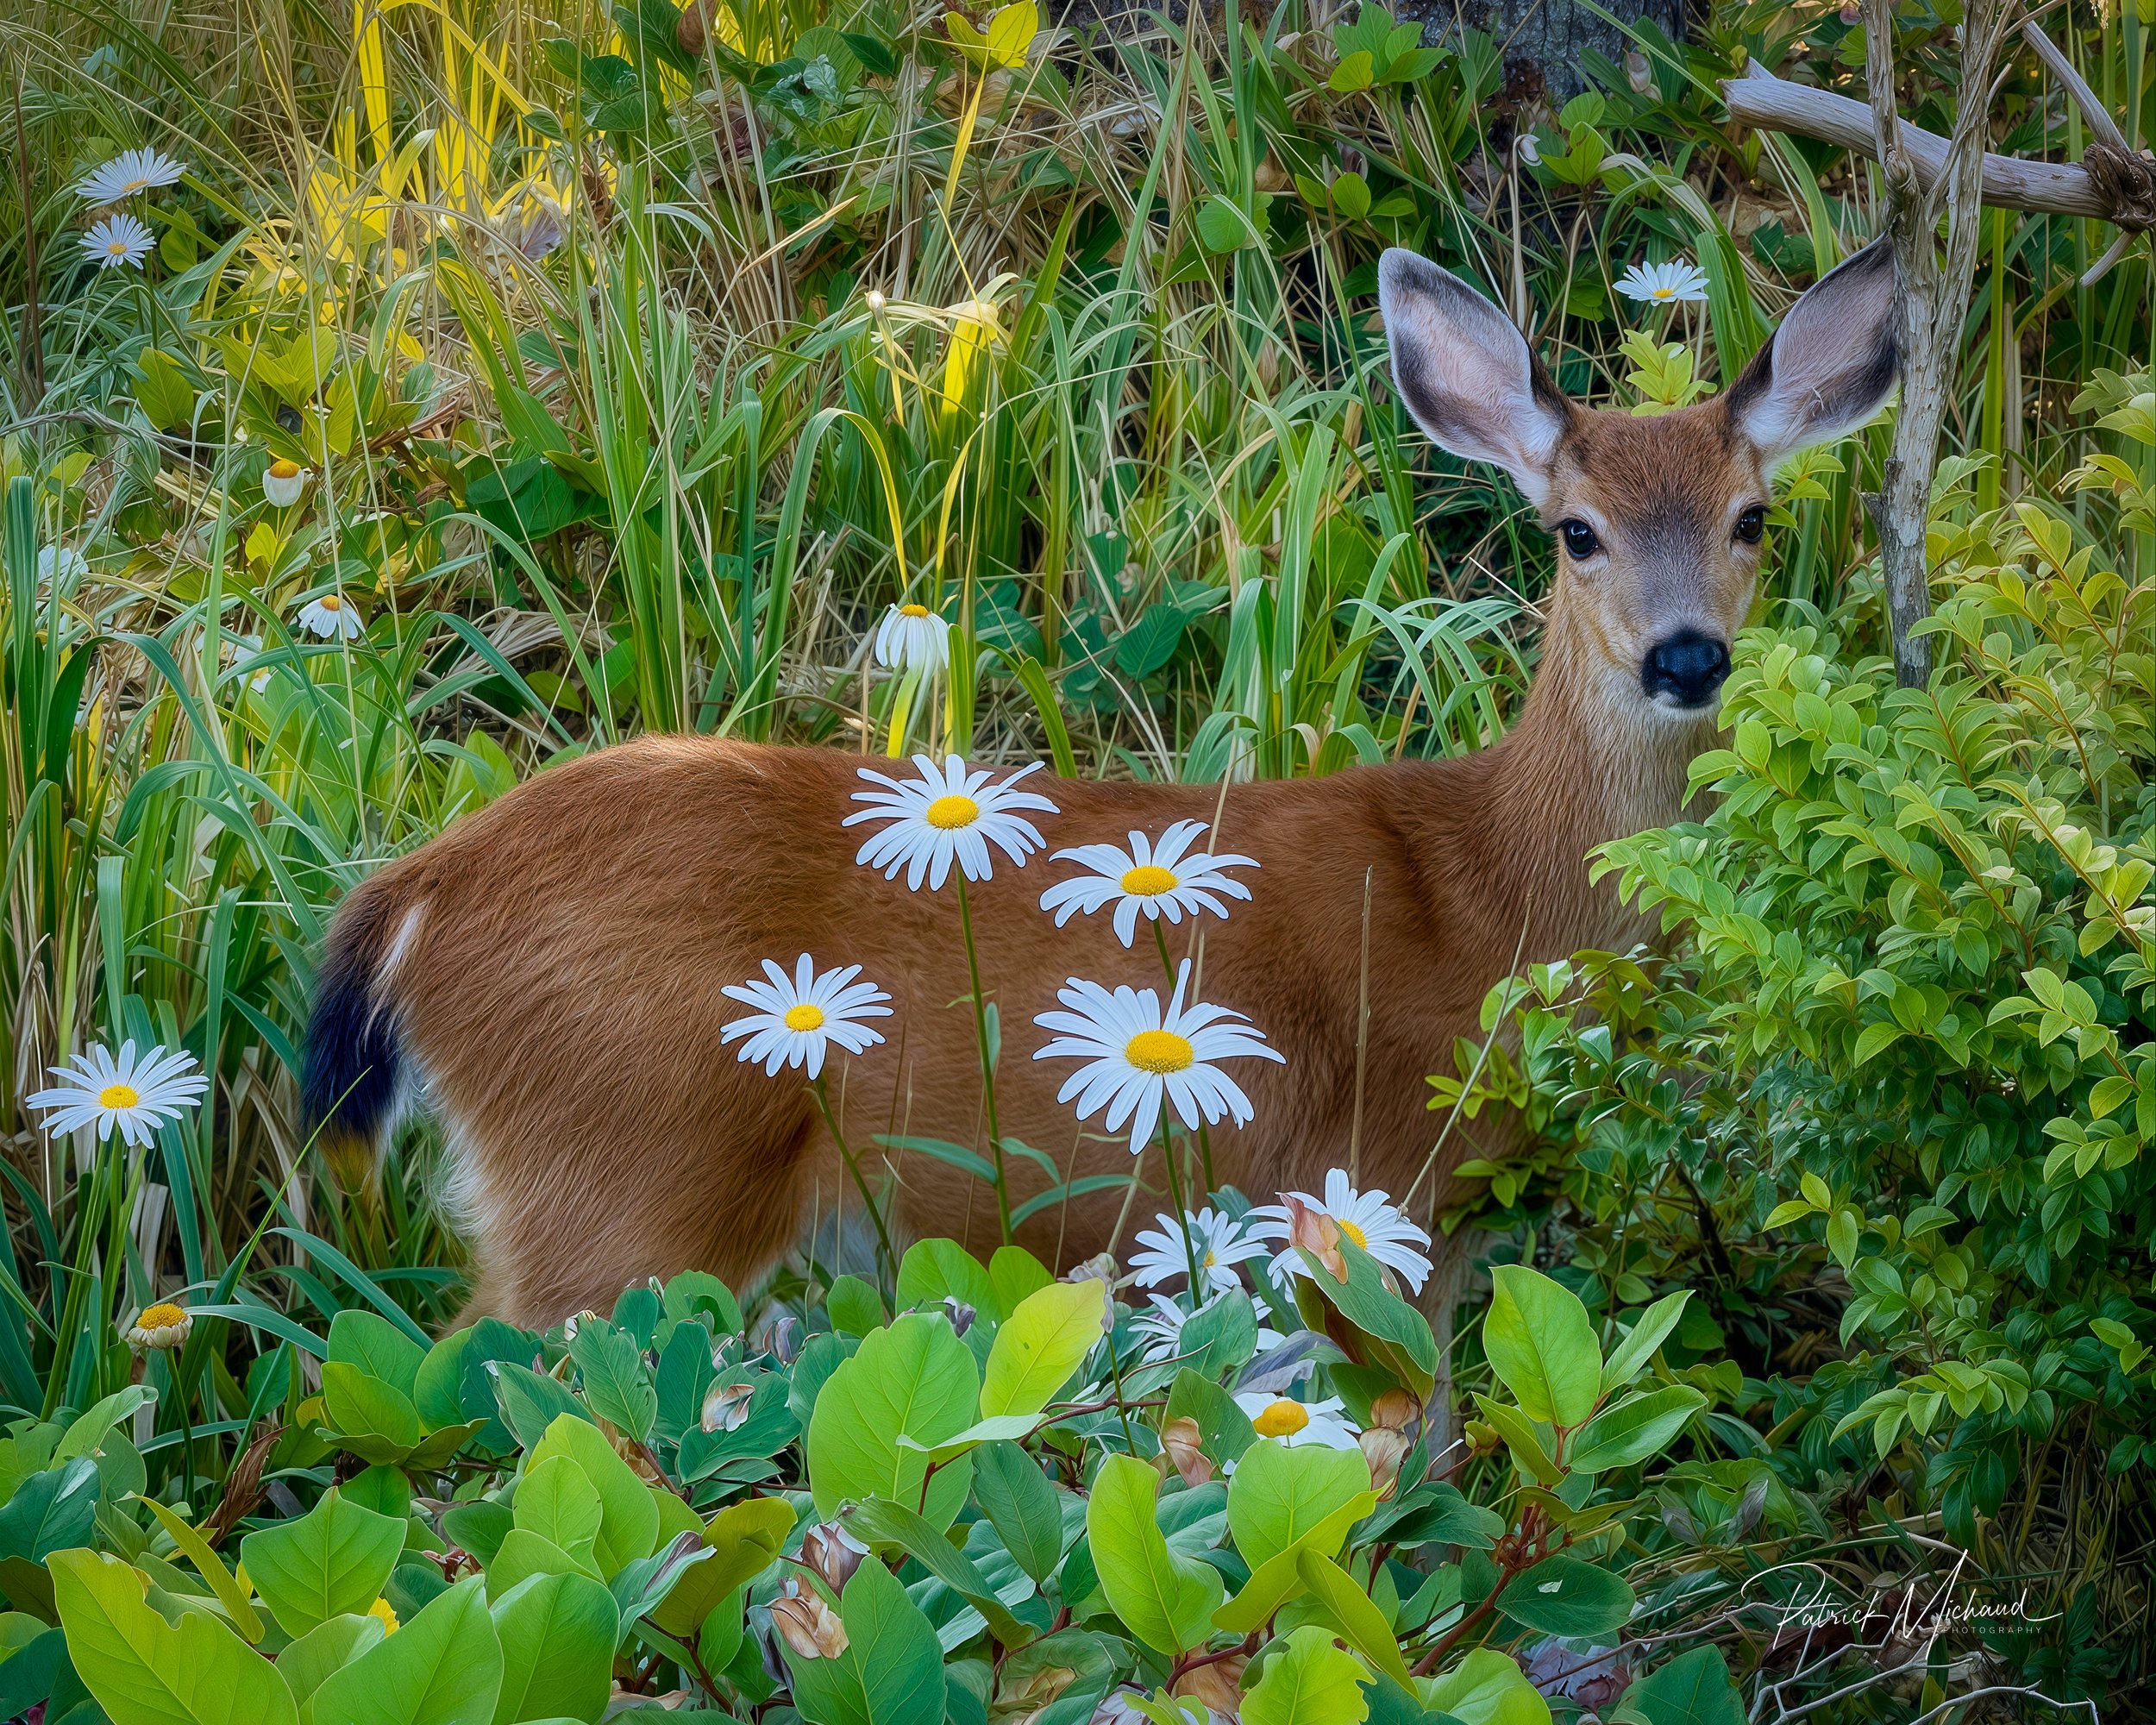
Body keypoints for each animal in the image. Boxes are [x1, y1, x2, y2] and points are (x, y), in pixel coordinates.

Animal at [303, 239, 1898, 1343]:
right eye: (1576, 531)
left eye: (1754, 519)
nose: (1688, 656)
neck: (1499, 895)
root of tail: (418, 893)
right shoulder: (1369, 1183)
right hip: (626, 1168)